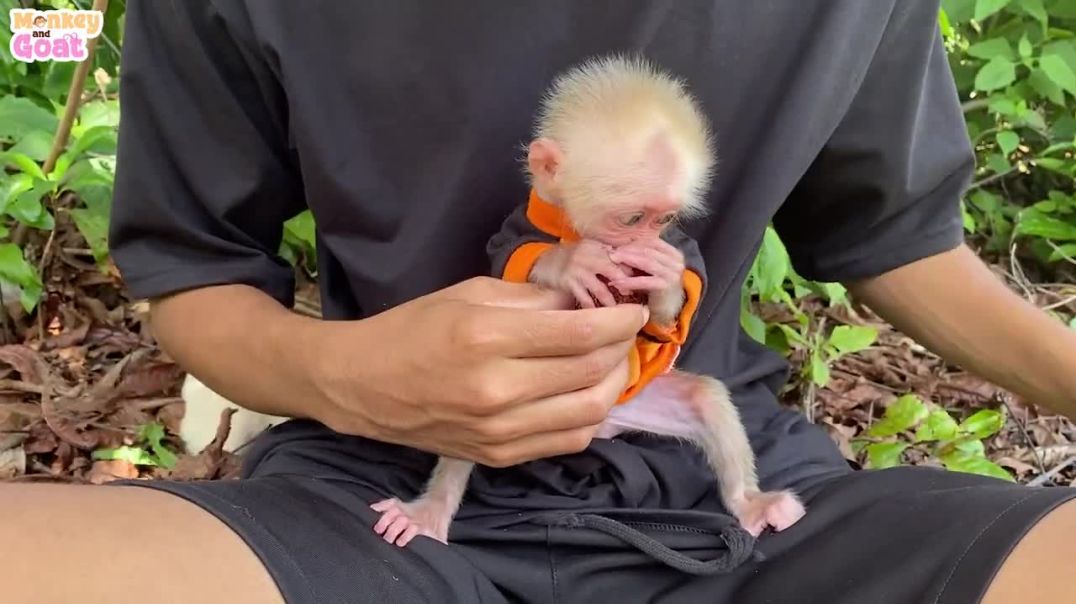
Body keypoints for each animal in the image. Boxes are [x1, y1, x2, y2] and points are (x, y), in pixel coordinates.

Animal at [370, 55, 806, 549]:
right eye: (632, 219)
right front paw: (570, 263)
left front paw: (665, 278)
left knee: (706, 397)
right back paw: (431, 512)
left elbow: (664, 316)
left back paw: (751, 501)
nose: (646, 241)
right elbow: (509, 263)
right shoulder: (517, 227)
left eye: (664, 220)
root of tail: (602, 424)